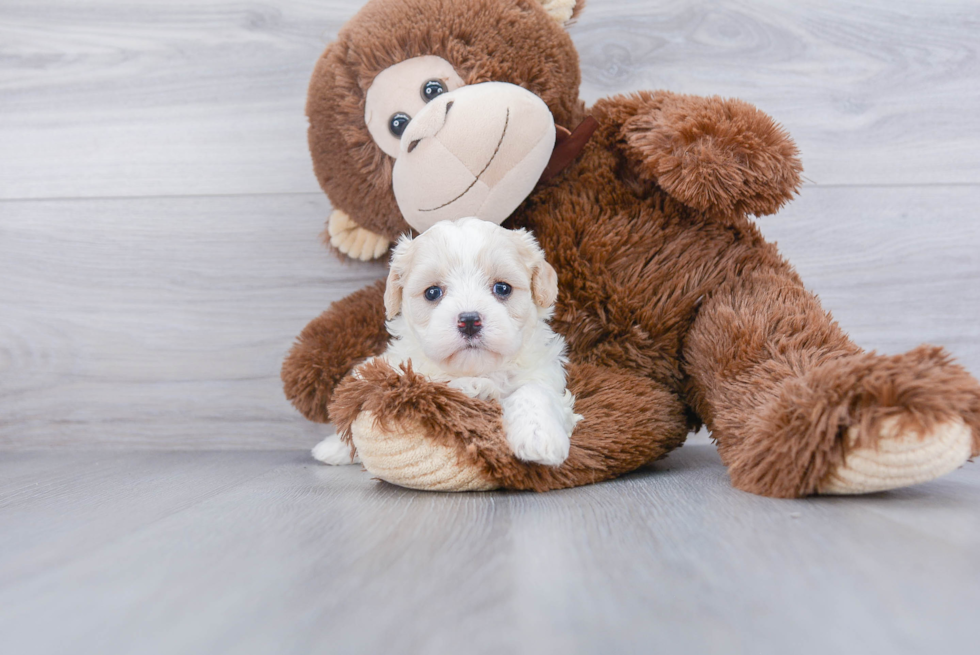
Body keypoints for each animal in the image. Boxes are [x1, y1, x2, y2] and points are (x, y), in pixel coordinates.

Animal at [312, 218, 580, 468]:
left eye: (503, 288)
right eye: (432, 293)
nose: (469, 320)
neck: (475, 370)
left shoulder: (543, 372)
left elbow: (534, 392)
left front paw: (539, 436)